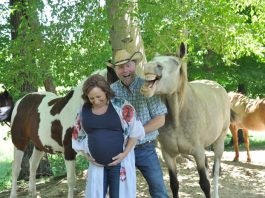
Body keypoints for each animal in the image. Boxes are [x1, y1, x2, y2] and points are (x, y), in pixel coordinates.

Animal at [140, 42, 231, 198]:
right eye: (154, 59)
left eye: (175, 62)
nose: (150, 66)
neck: (178, 117)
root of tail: (218, 87)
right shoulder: (168, 155)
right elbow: (174, 184)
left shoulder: (198, 152)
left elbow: (204, 184)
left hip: (219, 141)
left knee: (216, 170)